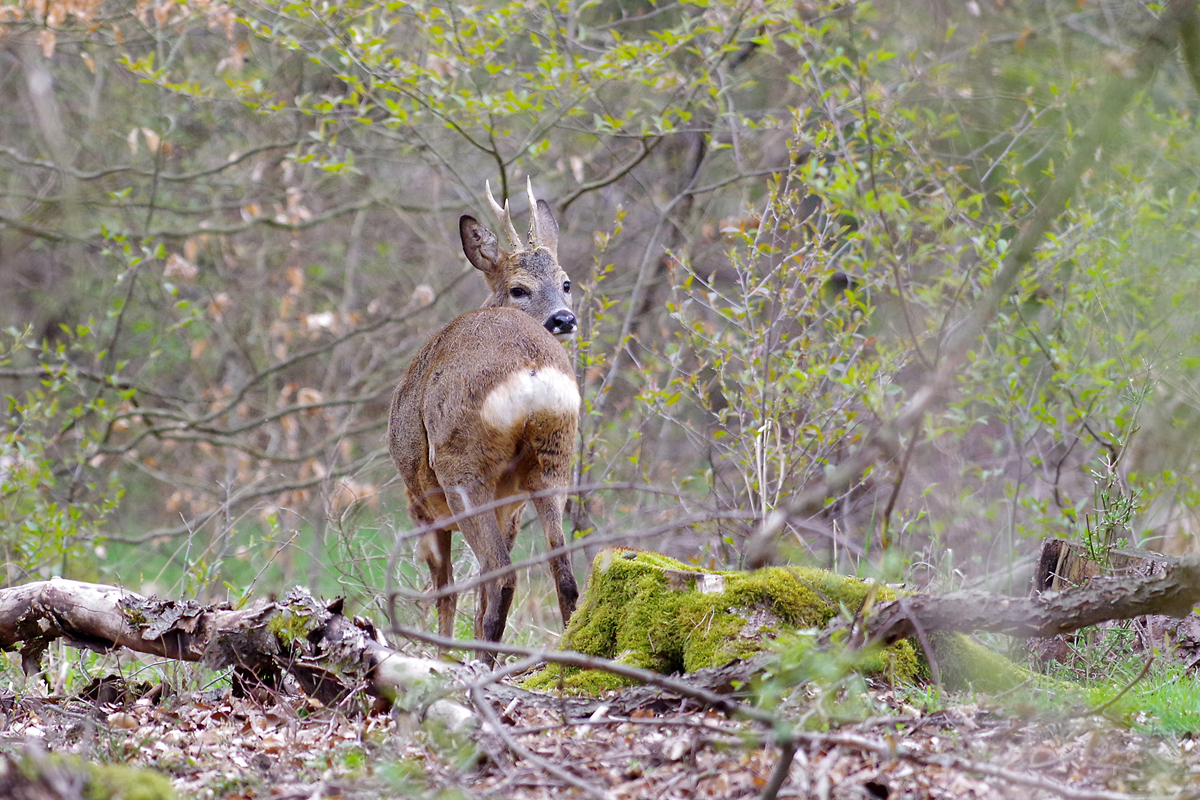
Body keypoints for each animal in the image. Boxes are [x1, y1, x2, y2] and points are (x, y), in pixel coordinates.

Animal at [388, 179, 580, 662]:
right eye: (518, 289)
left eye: (565, 283)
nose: (564, 318)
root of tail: (530, 367)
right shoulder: (511, 506)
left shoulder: (419, 501)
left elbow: (446, 589)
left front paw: (441, 653)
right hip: (555, 457)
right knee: (562, 571)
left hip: (461, 466)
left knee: (502, 575)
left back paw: (477, 662)